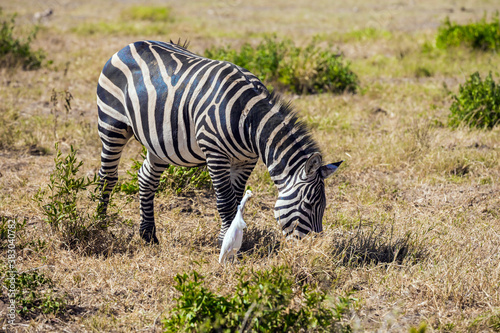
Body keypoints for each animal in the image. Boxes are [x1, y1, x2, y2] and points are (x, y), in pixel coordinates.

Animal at [95, 40, 342, 245]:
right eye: (308, 204)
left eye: (324, 206)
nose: (314, 247)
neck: (248, 120)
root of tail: (131, 44)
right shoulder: (215, 153)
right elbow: (226, 201)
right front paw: (224, 241)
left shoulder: (246, 160)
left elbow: (237, 199)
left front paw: (235, 240)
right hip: (112, 124)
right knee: (107, 176)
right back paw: (100, 224)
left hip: (160, 143)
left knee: (146, 178)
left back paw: (148, 235)